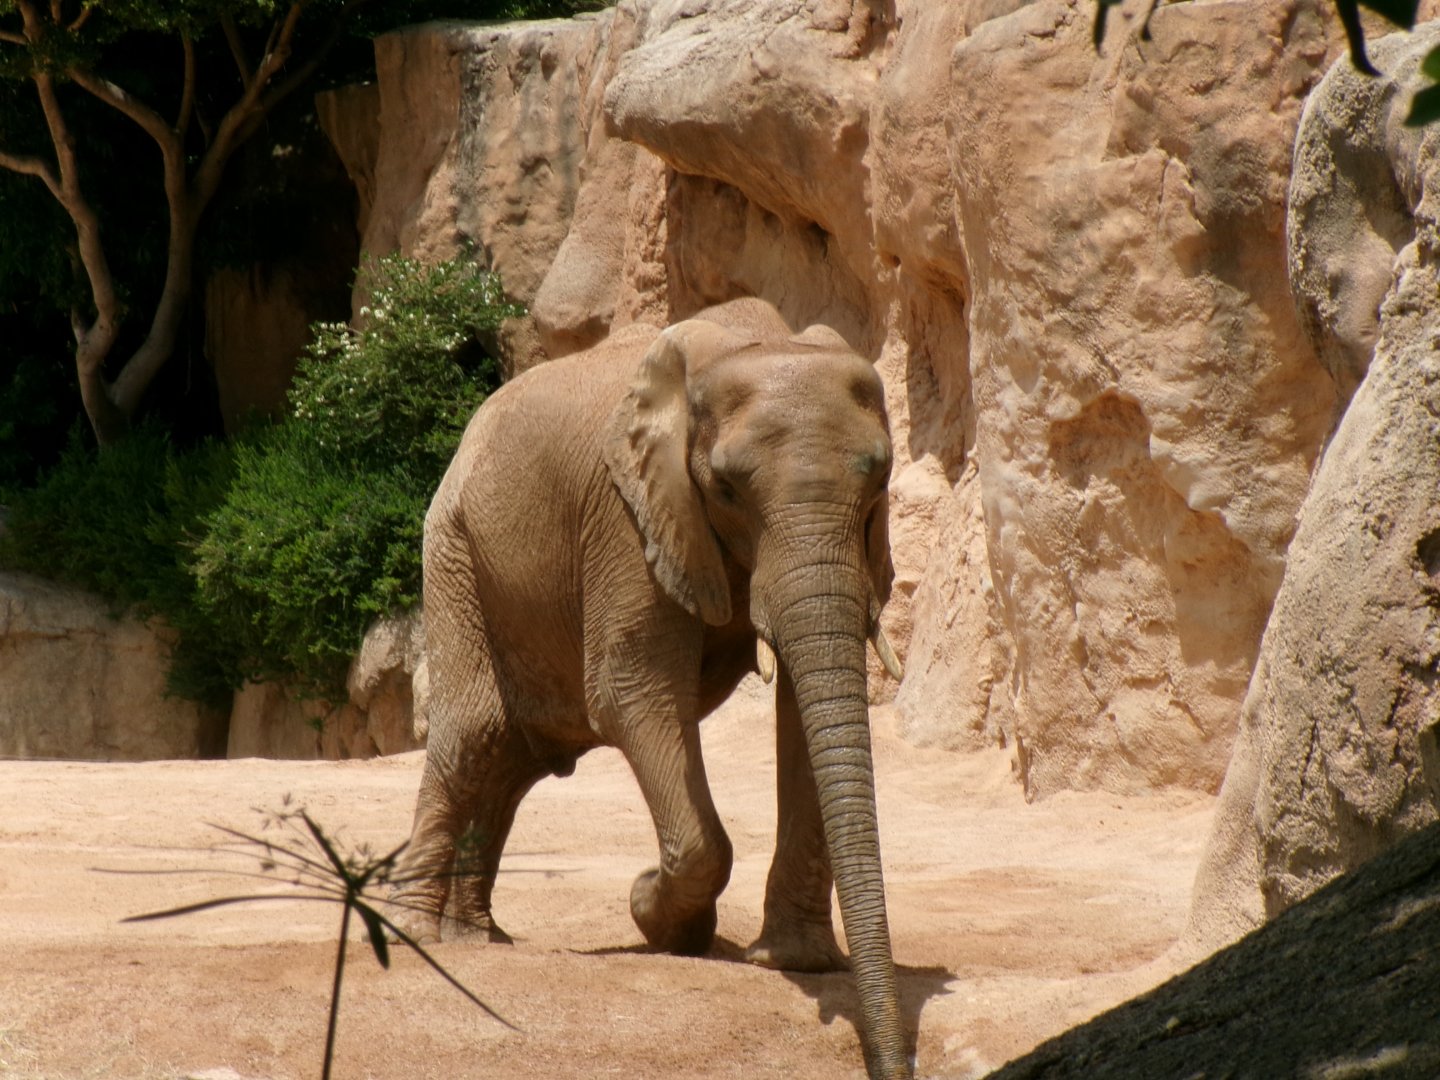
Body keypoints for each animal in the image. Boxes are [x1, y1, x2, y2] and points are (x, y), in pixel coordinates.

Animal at [391, 297, 912, 1079]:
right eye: (726, 489)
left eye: (879, 479)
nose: (893, 1063)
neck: (751, 344)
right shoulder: (627, 512)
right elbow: (630, 690)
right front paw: (656, 913)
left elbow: (801, 708)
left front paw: (793, 962)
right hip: (453, 549)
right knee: (471, 736)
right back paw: (420, 937)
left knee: (508, 759)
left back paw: (477, 938)